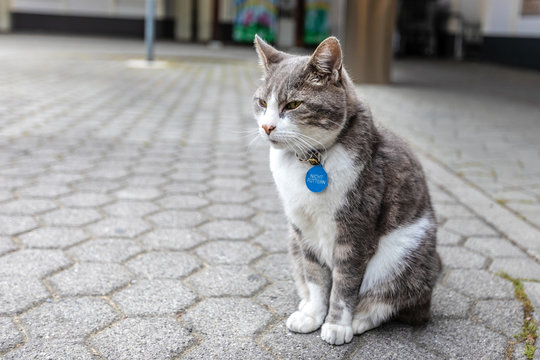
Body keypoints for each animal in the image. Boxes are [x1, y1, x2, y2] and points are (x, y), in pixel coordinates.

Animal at [251, 34, 440, 346]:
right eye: (262, 102)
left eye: (293, 104)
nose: (267, 126)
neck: (310, 160)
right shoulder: (303, 230)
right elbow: (316, 277)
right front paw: (313, 314)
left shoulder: (355, 230)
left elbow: (345, 283)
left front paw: (337, 324)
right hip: (292, 241)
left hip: (406, 255)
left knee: (392, 301)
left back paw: (360, 320)